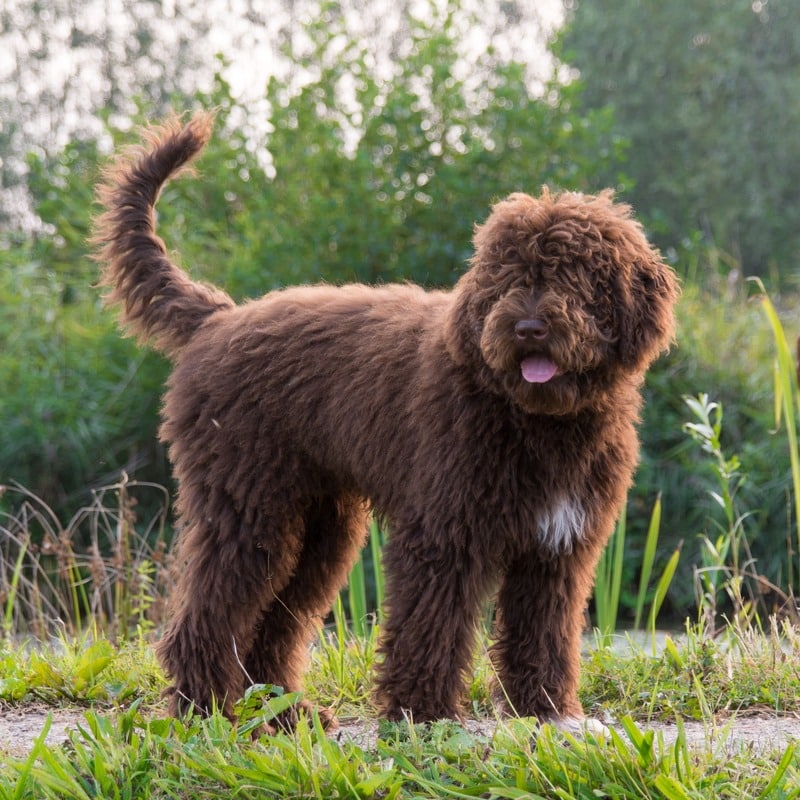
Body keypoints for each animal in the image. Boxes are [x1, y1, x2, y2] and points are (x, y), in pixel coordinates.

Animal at [95, 111, 680, 732]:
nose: (527, 328)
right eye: (505, 277)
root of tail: (218, 317)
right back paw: (202, 712)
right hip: (248, 507)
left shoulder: (556, 547)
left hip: (319, 526)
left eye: (574, 274)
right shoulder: (444, 532)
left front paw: (547, 711)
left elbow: (543, 632)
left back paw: (287, 713)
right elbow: (431, 624)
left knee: (276, 620)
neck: (534, 418)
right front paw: (424, 715)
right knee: (210, 613)